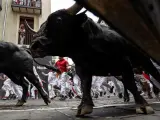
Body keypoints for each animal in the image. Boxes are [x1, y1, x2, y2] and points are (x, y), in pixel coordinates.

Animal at [25, 3, 160, 116]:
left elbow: (131, 82)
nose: (34, 46)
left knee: (154, 74)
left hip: (144, 60)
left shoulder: (124, 62)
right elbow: (85, 85)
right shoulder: (82, 68)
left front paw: (143, 105)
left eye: (58, 20)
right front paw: (84, 106)